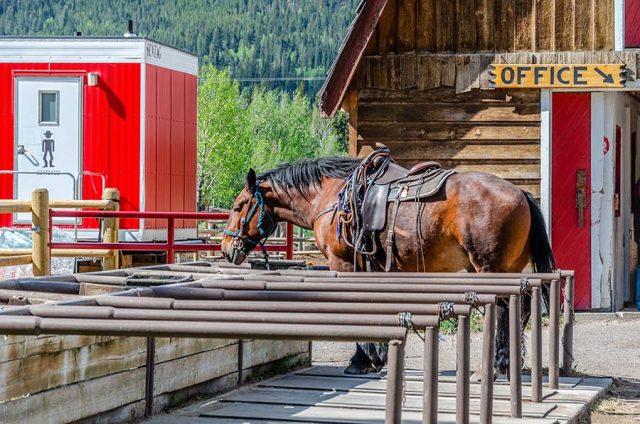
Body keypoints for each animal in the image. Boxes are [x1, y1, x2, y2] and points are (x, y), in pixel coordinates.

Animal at [221, 155, 555, 375]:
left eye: (238, 207)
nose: (226, 248)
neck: (329, 198)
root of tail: (521, 193)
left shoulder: (344, 265)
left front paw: (361, 360)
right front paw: (374, 357)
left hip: (489, 267)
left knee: (504, 309)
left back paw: (497, 367)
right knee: (519, 308)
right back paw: (506, 365)